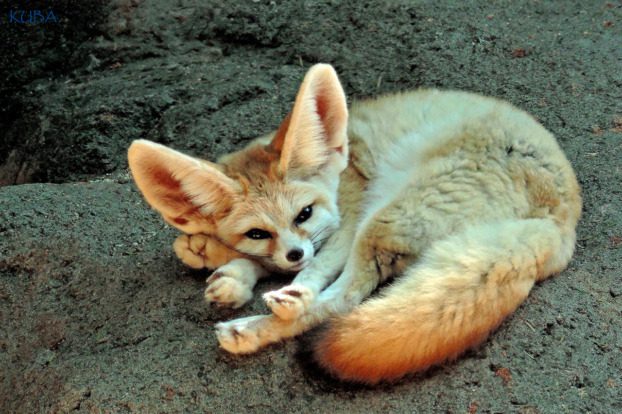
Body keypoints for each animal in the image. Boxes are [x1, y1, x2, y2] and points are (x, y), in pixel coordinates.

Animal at [129, 63, 584, 384]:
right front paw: (222, 261)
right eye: (258, 232)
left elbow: (315, 269)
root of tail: (560, 221)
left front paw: (270, 281)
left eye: (304, 214)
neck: (340, 168)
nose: (293, 253)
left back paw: (262, 321)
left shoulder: (346, 220)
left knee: (343, 299)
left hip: (382, 216)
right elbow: (262, 258)